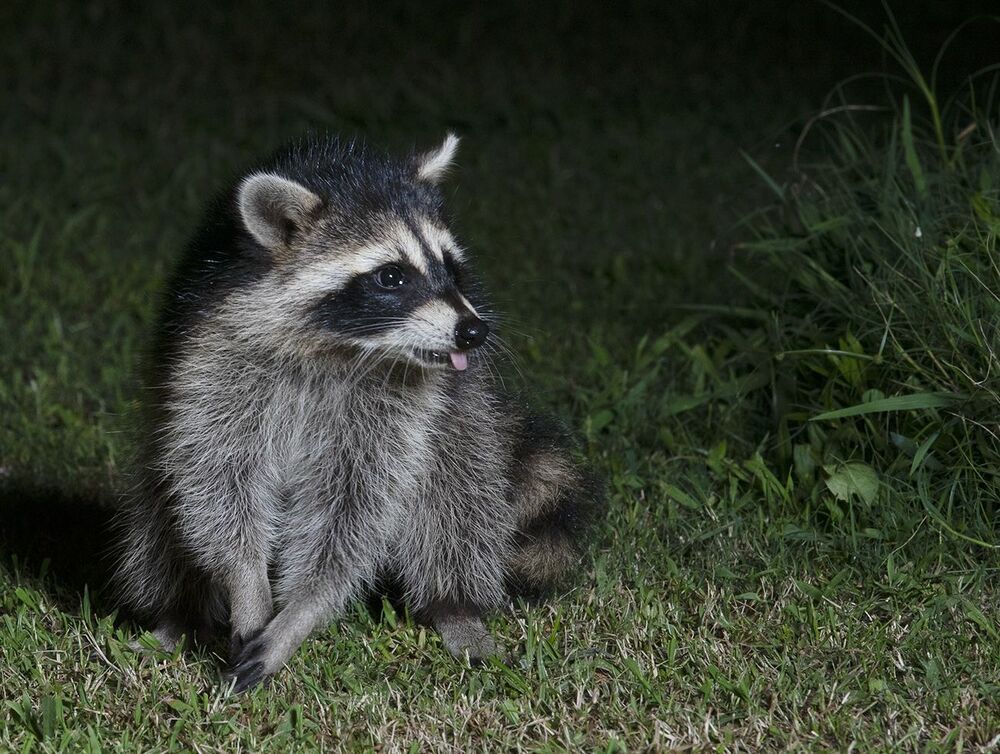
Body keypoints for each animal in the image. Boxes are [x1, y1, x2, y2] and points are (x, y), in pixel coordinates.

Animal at [114, 134, 603, 692]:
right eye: (391, 276)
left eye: (450, 265)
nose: (474, 332)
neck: (337, 348)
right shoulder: (216, 356)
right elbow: (219, 479)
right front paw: (245, 583)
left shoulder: (398, 407)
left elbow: (353, 510)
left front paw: (301, 612)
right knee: (159, 514)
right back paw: (181, 617)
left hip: (463, 416)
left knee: (455, 499)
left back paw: (456, 607)